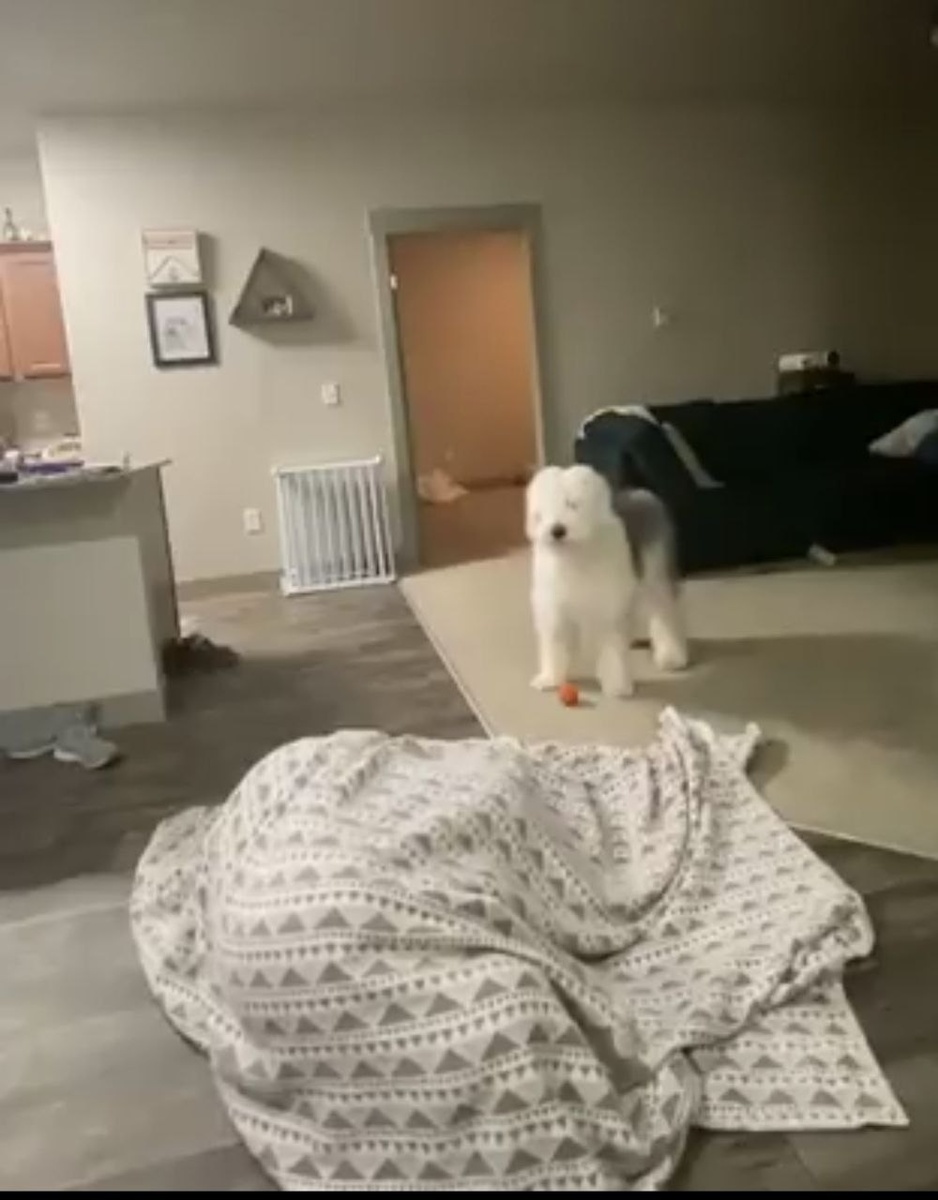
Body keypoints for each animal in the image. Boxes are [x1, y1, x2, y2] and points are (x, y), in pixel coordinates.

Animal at [525, 464, 688, 697]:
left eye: (572, 503)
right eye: (543, 510)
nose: (557, 530)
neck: (575, 555)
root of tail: (640, 493)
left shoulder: (607, 607)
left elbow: (612, 649)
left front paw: (617, 686)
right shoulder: (554, 610)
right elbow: (554, 643)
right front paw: (549, 679)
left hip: (654, 574)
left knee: (665, 615)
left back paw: (671, 656)